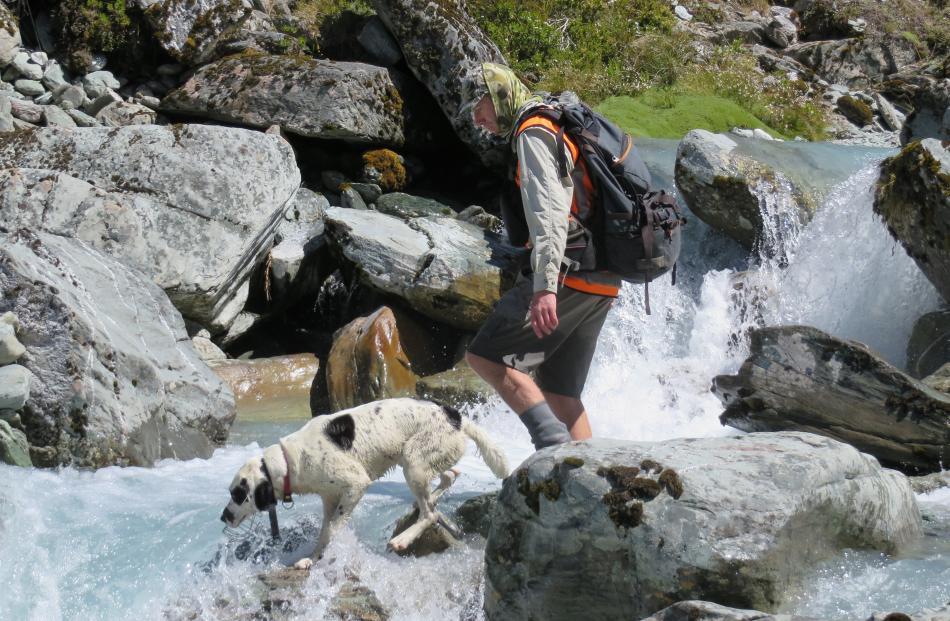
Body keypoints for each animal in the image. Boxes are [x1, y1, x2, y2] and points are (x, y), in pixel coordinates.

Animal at [221, 398, 512, 568]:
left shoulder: (355, 485)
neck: (290, 460)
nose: (224, 516)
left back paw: (403, 539)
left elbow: (331, 530)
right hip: (425, 460)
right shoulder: (330, 498)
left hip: (413, 462)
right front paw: (312, 559)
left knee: (430, 514)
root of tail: (455, 416)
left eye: (238, 494)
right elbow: (323, 532)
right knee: (448, 478)